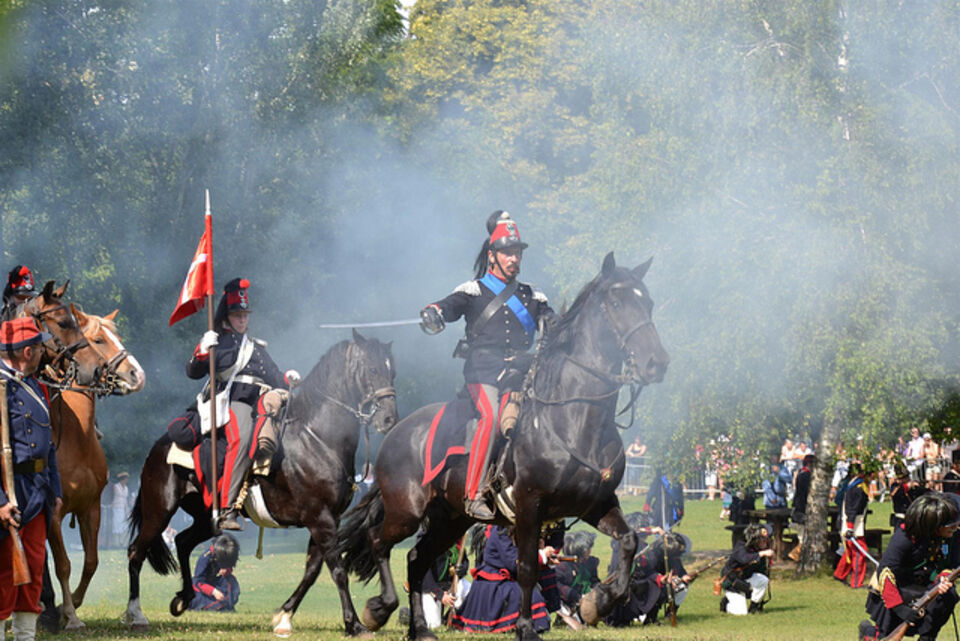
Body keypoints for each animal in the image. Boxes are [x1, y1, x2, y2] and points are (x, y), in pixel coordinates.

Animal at [121, 330, 398, 636]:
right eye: (372, 369)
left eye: (392, 371)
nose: (389, 418)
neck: (316, 438)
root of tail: (158, 446)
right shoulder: (320, 519)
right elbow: (337, 571)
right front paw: (354, 623)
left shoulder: (328, 520)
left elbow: (312, 571)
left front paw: (284, 616)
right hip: (159, 512)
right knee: (136, 552)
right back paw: (135, 614)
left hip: (207, 518)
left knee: (182, 542)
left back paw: (184, 598)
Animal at [342, 252, 672, 640]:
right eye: (617, 302)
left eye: (648, 303)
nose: (656, 363)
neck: (576, 418)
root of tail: (396, 431)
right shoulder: (529, 506)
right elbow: (527, 567)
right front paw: (526, 626)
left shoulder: (598, 504)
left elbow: (630, 541)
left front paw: (598, 602)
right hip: (406, 513)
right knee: (379, 541)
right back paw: (379, 609)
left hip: (450, 519)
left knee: (415, 559)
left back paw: (420, 629)